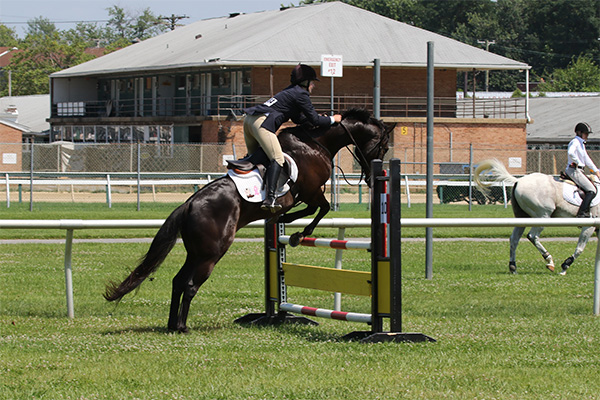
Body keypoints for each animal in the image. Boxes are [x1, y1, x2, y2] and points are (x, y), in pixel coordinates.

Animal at [104, 108, 394, 332]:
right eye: (383, 146)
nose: (372, 177)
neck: (316, 143)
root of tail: (188, 205)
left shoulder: (308, 194)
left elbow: (310, 210)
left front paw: (284, 221)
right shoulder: (312, 192)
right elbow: (321, 209)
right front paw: (296, 233)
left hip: (195, 252)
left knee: (178, 282)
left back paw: (171, 325)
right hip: (212, 253)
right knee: (190, 285)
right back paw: (183, 326)